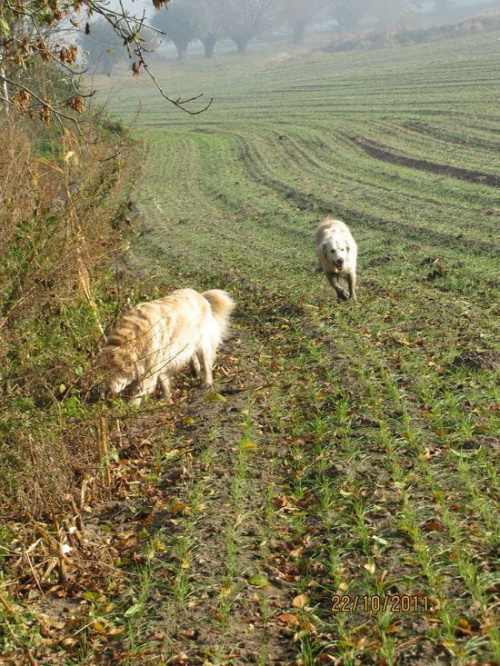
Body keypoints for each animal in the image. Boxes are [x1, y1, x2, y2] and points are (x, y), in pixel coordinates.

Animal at [99, 286, 236, 402]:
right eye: (103, 371)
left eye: (116, 371)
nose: (107, 391)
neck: (133, 338)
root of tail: (200, 295)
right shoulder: (161, 362)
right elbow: (163, 382)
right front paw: (166, 398)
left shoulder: (150, 371)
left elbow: (138, 392)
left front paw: (131, 407)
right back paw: (194, 369)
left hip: (203, 342)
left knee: (206, 363)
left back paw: (207, 382)